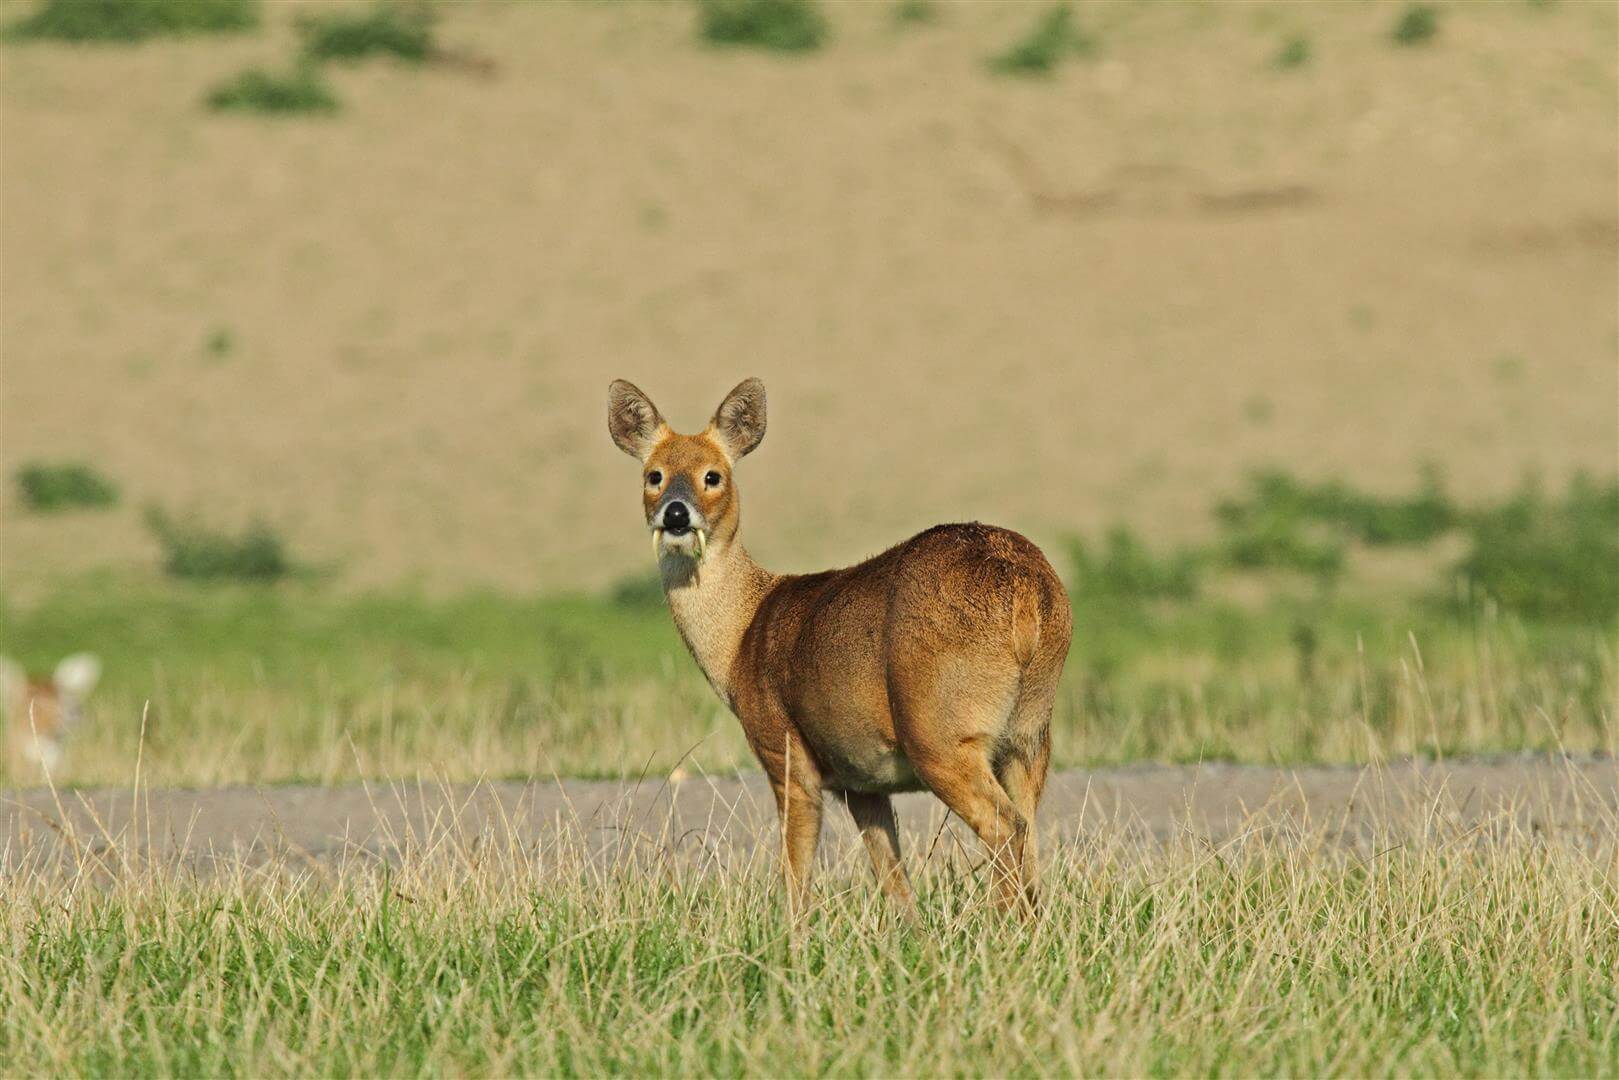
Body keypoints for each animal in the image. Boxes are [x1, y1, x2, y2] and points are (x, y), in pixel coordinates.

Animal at [602, 380, 1068, 913]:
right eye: (654, 475)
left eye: (712, 475)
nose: (676, 513)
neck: (742, 635)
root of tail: (1027, 588)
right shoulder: (860, 781)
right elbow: (895, 882)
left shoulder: (784, 751)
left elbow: (796, 872)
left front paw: (790, 933)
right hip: (1029, 735)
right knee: (1029, 831)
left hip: (941, 733)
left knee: (1005, 826)